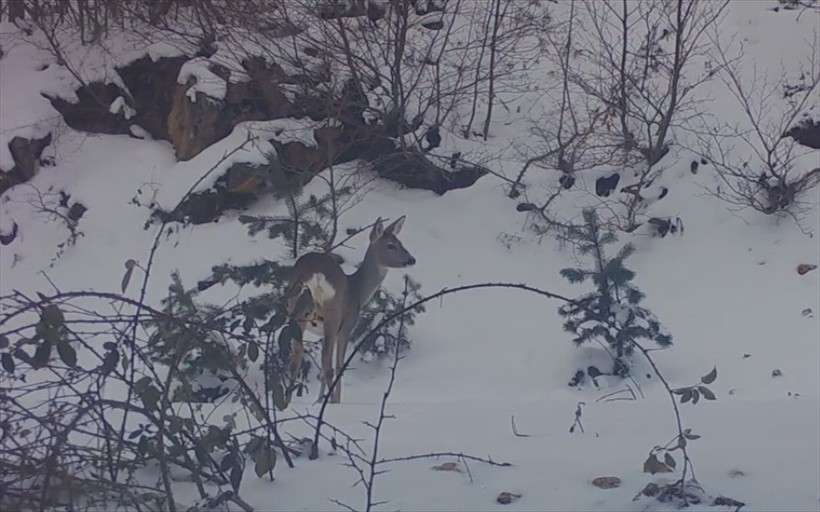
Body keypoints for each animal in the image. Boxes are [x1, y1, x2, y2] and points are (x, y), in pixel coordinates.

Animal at [282, 216, 416, 404]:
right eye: (391, 245)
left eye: (400, 242)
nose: (412, 259)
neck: (357, 291)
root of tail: (312, 272)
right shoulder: (347, 324)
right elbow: (339, 365)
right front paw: (331, 400)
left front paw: (319, 400)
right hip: (333, 312)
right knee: (329, 364)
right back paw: (333, 400)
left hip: (295, 308)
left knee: (295, 360)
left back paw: (286, 404)